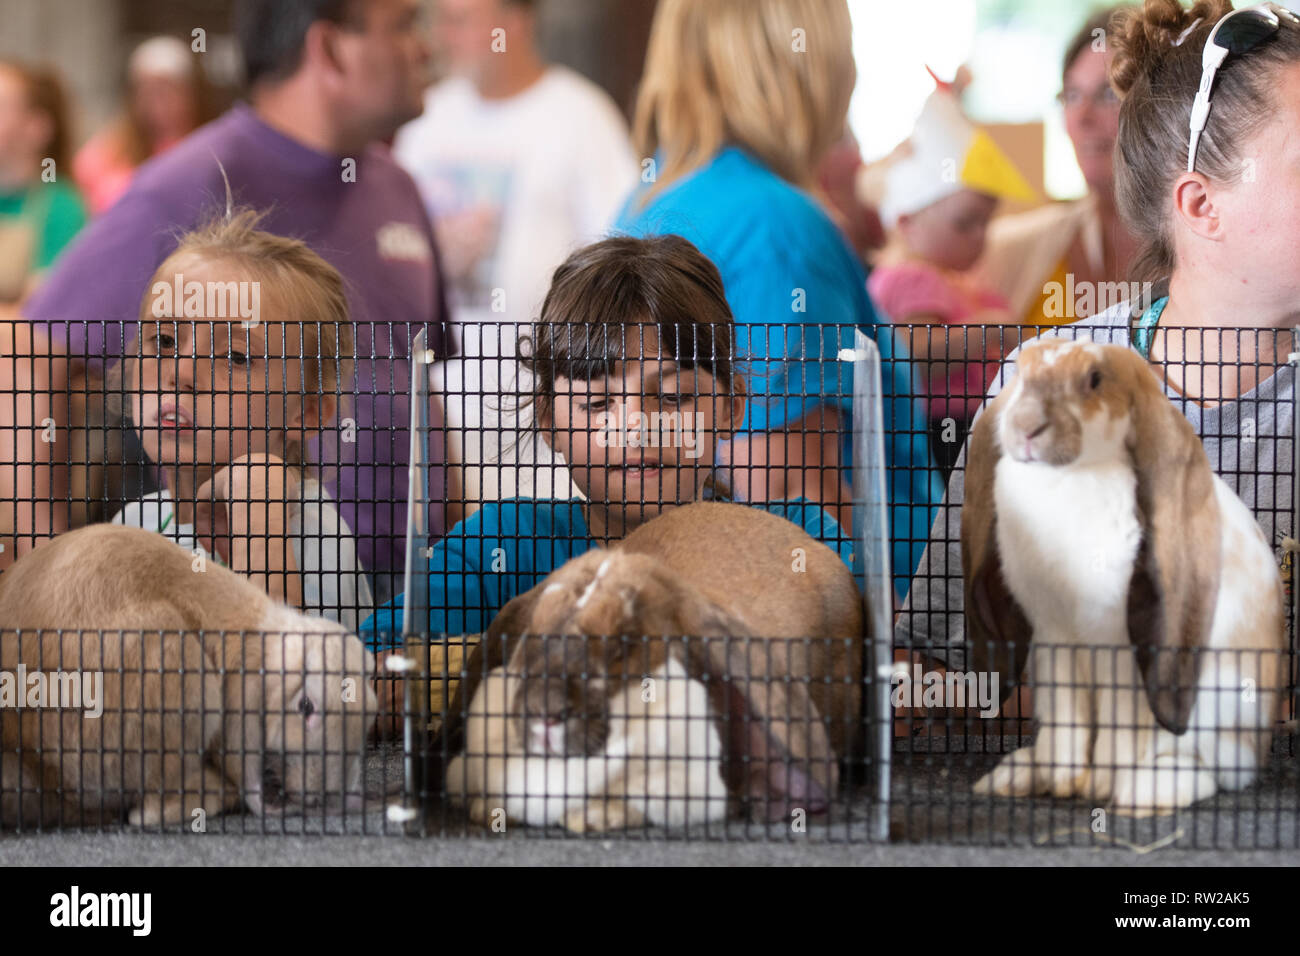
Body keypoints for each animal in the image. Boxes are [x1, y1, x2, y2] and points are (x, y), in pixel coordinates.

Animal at [961, 335, 1284, 816]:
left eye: (1094, 379)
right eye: (1019, 372)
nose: (1026, 427)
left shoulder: (1117, 646)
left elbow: (1118, 727)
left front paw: (1100, 786)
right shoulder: (1054, 636)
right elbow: (1066, 718)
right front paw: (1063, 780)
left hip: (1216, 707)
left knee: (1212, 769)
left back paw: (1144, 792)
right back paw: (1014, 776)